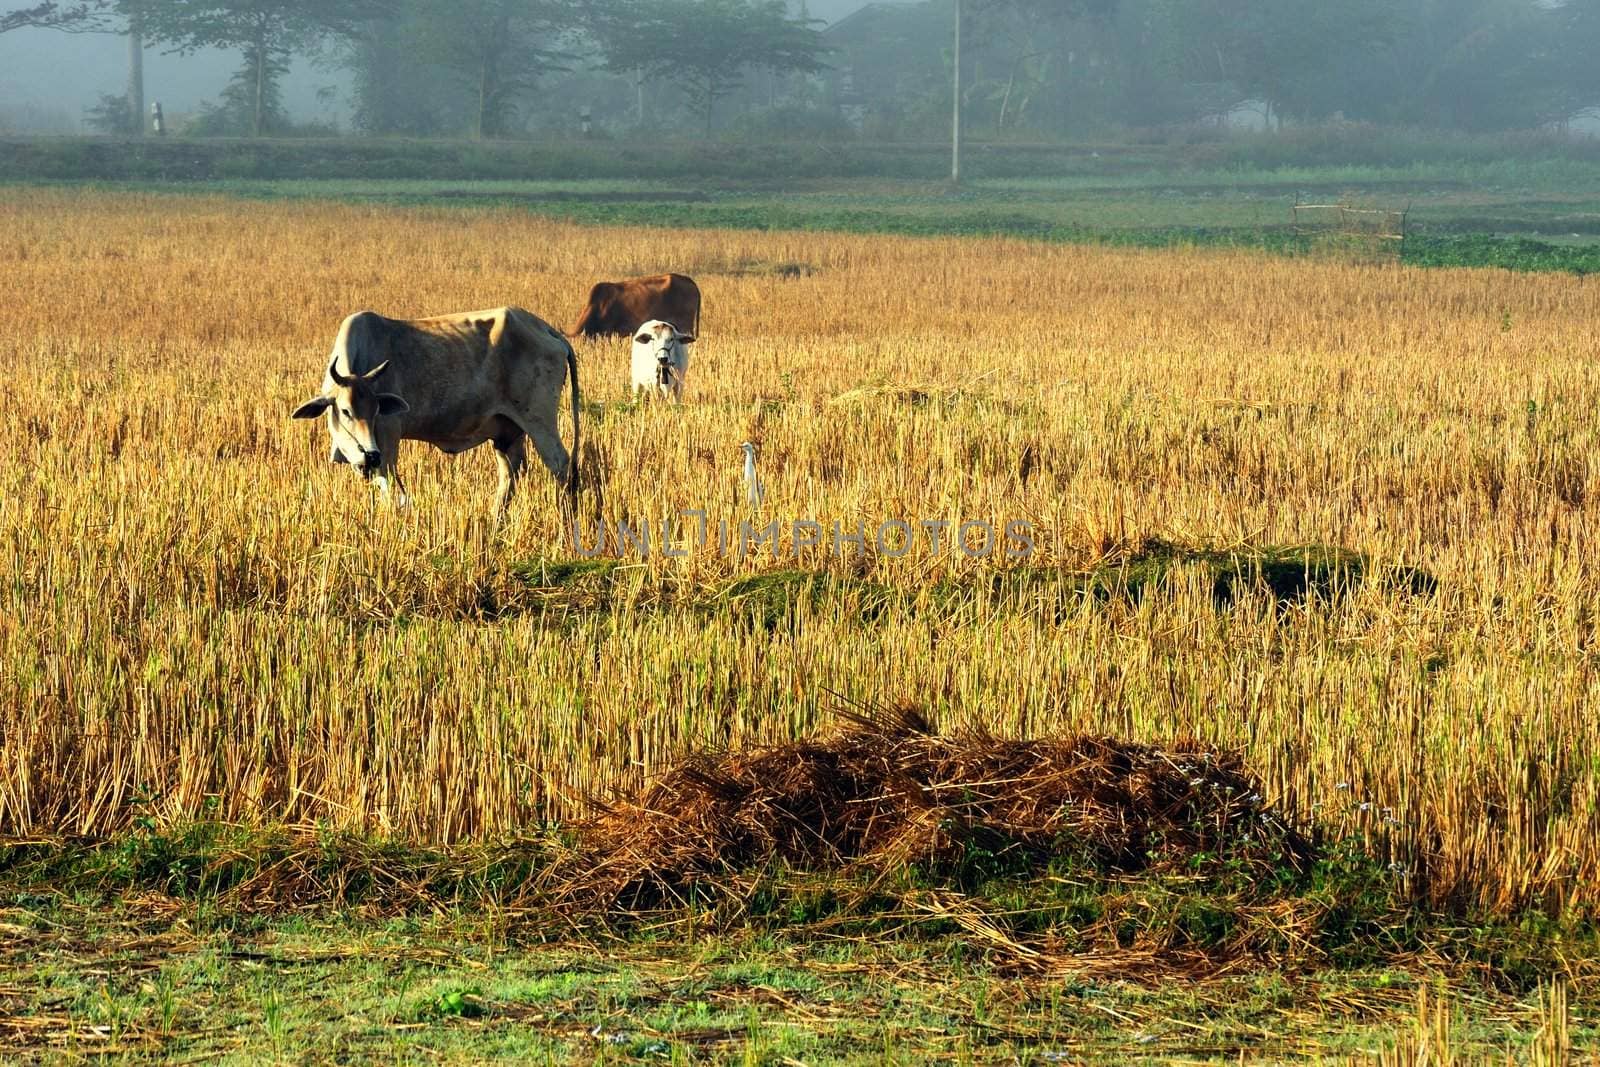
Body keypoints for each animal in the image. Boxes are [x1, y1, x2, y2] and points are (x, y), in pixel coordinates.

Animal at [294, 303, 582, 521]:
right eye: (345, 411)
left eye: (377, 410)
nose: (370, 455)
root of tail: (547, 329)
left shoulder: (389, 436)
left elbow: (388, 483)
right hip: (508, 432)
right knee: (510, 473)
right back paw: (495, 522)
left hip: (539, 421)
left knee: (560, 464)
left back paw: (566, 520)